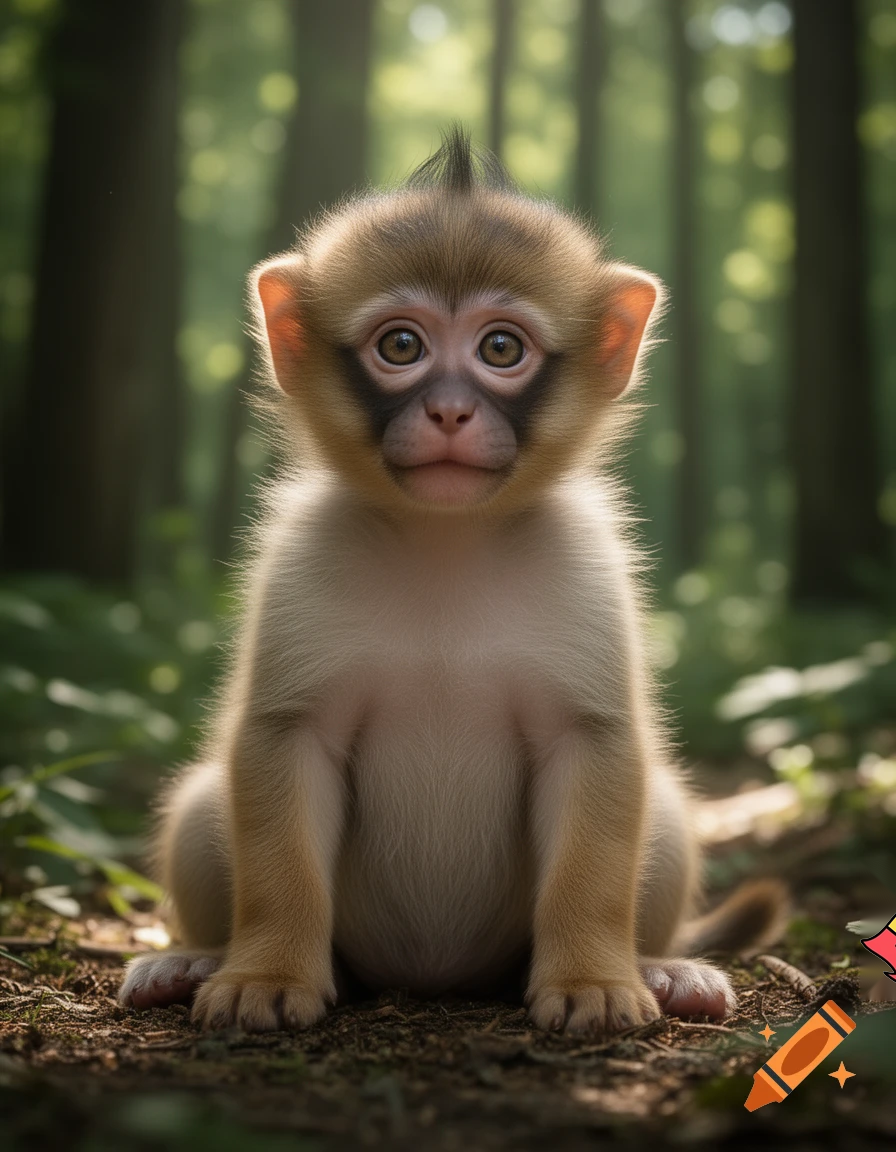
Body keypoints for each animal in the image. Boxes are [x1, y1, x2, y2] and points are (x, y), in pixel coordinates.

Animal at [119, 129, 786, 1035]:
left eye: (501, 349)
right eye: (400, 346)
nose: (448, 412)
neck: (447, 544)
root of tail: (432, 979)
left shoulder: (588, 585)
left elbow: (594, 777)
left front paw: (592, 979)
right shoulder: (296, 582)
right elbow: (283, 769)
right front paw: (265, 971)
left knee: (665, 816)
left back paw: (662, 964)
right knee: (202, 804)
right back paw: (193, 958)